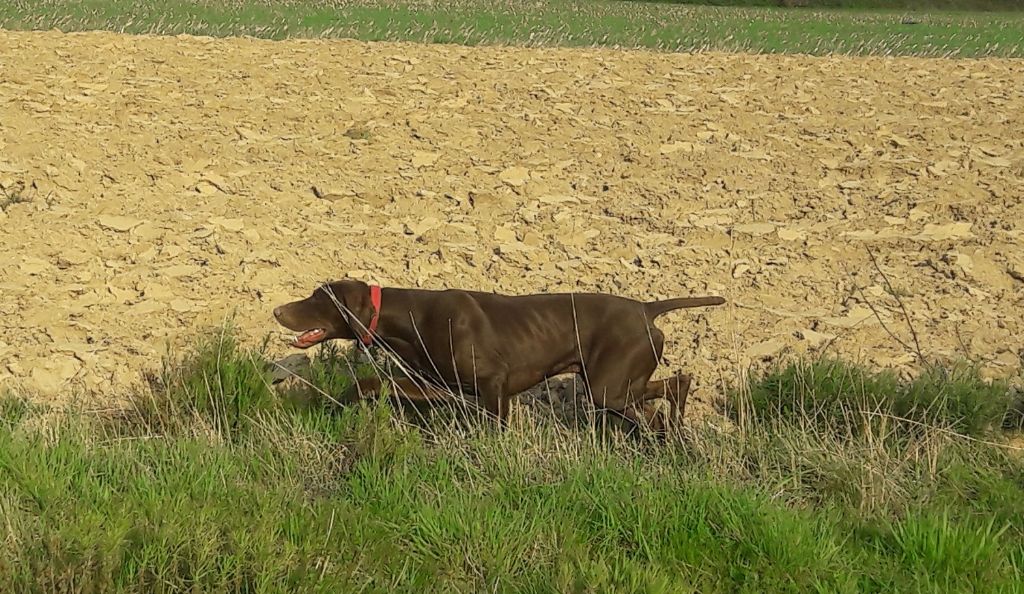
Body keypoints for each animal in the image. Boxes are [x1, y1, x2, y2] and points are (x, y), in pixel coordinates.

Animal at [276, 278, 724, 432]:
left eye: (318, 298)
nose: (277, 310)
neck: (410, 316)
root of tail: (647, 309)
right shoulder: (439, 385)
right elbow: (371, 383)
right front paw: (333, 404)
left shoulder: (494, 385)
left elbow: (494, 429)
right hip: (614, 387)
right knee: (667, 395)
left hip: (607, 388)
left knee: (668, 394)